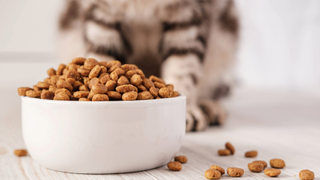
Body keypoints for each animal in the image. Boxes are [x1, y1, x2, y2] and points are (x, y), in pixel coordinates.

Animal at [58, 0, 239, 132]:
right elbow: (102, 55)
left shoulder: (189, 14)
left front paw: (186, 111)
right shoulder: (100, 14)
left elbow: (183, 67)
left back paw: (209, 107)